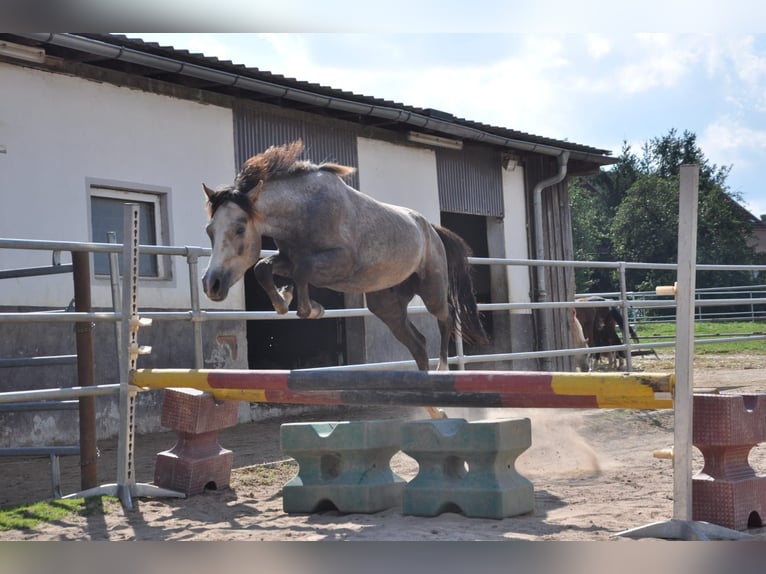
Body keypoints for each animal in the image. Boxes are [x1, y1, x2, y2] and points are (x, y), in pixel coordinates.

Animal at [204, 140, 488, 418]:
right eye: (210, 230)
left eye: (240, 228)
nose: (211, 285)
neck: (305, 210)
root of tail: (431, 228)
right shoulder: (287, 258)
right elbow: (264, 268)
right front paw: (286, 300)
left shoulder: (342, 262)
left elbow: (303, 270)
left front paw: (309, 308)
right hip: (386, 304)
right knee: (418, 343)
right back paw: (434, 409)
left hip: (431, 289)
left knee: (446, 315)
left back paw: (443, 370)